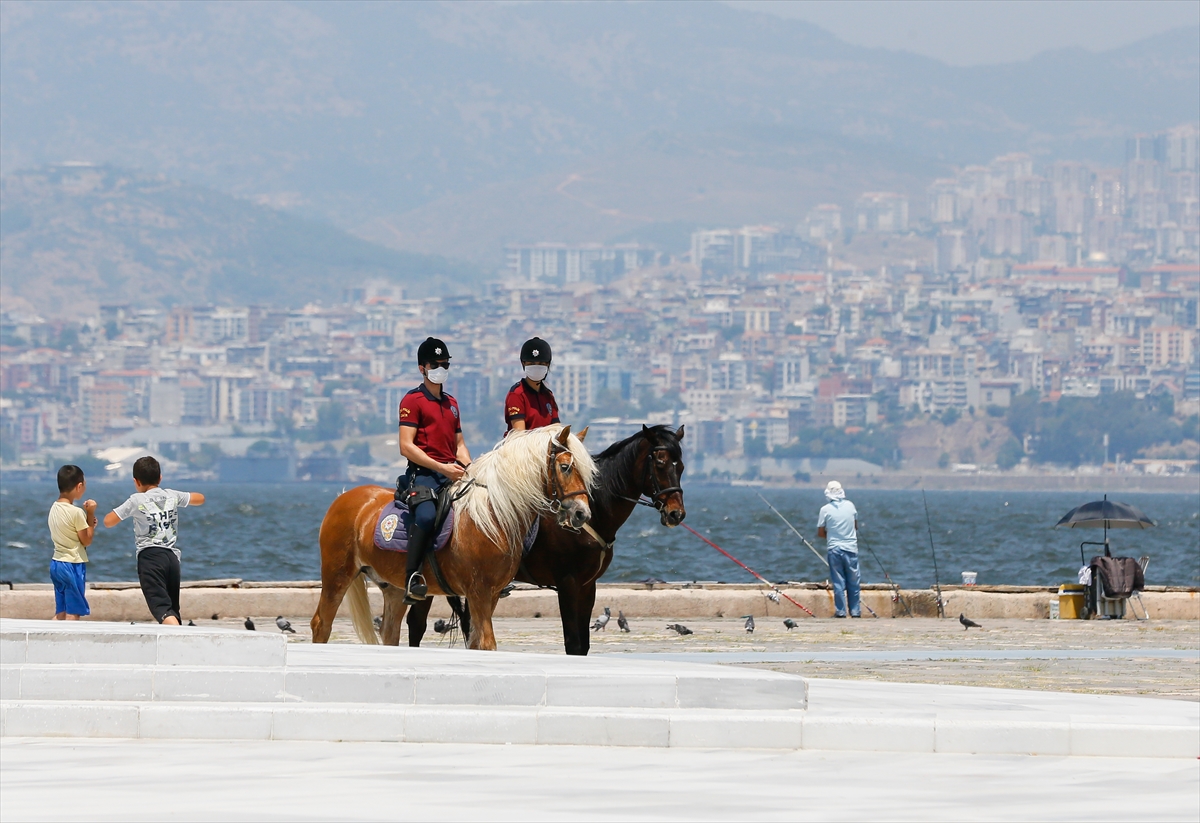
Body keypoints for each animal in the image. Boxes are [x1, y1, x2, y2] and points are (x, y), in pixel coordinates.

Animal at [309, 424, 590, 652]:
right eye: (565, 467)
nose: (582, 513)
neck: (492, 515)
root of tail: (344, 497)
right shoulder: (478, 592)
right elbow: (487, 643)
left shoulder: (491, 595)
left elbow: (477, 643)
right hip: (337, 574)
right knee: (321, 624)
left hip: (394, 587)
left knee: (389, 631)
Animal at [403, 424, 686, 657]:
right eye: (660, 463)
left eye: (681, 467)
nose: (677, 514)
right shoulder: (568, 582)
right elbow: (573, 642)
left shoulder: (588, 585)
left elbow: (583, 644)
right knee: (416, 625)